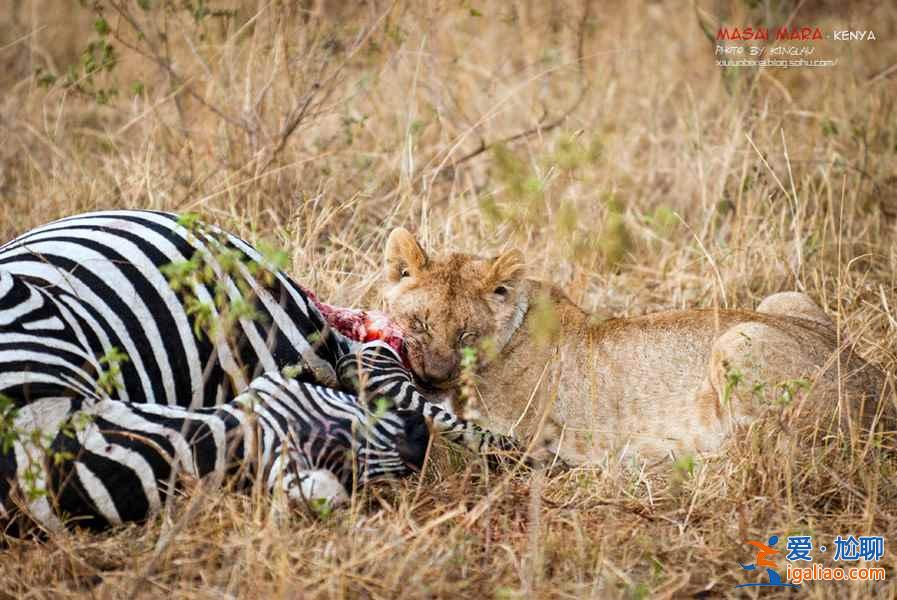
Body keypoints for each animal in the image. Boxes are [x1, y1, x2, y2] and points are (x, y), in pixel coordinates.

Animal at [380, 229, 888, 464]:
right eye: (419, 323)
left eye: (467, 336)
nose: (432, 377)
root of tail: (880, 393)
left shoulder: (517, 435)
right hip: (785, 299)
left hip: (740, 338)